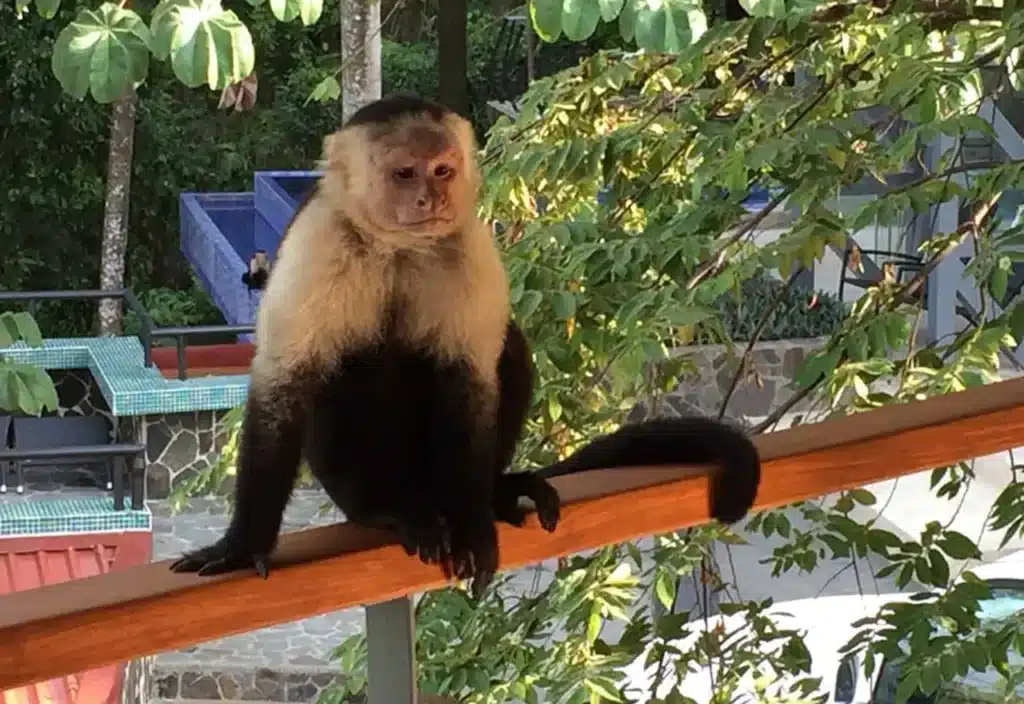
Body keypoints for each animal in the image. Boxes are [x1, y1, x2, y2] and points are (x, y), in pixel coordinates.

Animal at [169, 94, 761, 598]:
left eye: (442, 170)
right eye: (404, 173)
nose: (430, 197)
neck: (399, 247)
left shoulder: (468, 242)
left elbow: (469, 378)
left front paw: (474, 526)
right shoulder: (319, 242)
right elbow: (285, 381)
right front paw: (241, 546)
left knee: (506, 350)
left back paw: (493, 490)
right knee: (362, 361)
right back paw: (386, 506)